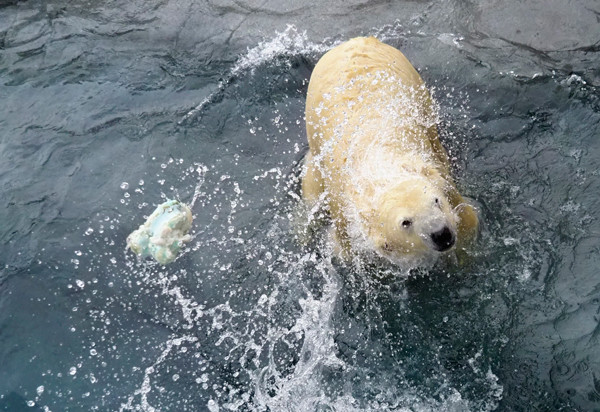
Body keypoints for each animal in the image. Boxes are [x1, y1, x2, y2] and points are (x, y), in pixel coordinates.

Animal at [302, 37, 480, 266]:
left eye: (436, 200)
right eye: (406, 222)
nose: (442, 234)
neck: (376, 159)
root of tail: (355, 40)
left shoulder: (434, 171)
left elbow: (466, 216)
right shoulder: (342, 206)